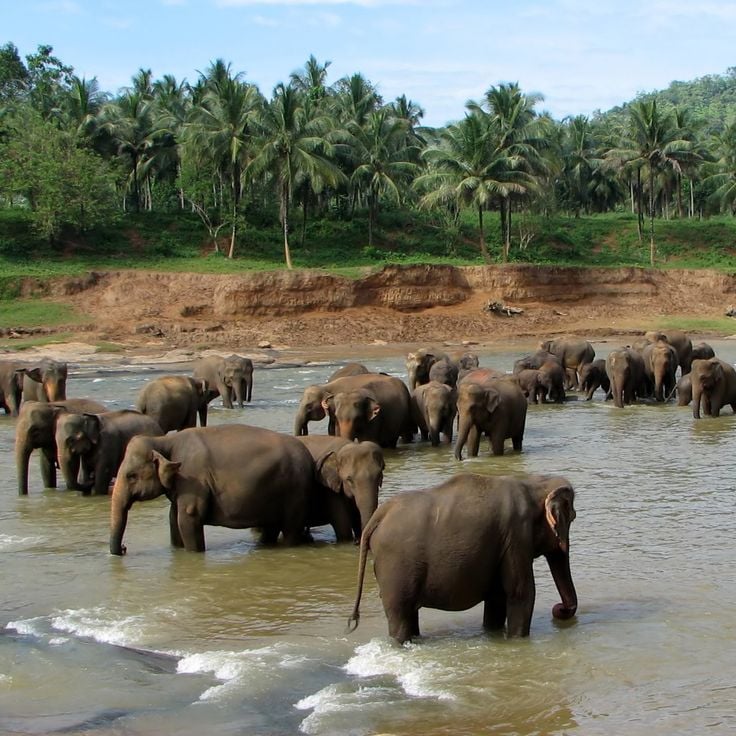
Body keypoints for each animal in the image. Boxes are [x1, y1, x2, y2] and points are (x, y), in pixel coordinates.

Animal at [109, 424, 316, 555]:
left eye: (131, 476)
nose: (124, 549)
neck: (164, 441)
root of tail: (308, 456)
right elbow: (173, 518)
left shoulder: (192, 478)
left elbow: (188, 517)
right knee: (271, 528)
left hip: (295, 491)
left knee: (290, 529)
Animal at [347, 473, 578, 644]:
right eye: (572, 517)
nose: (558, 609)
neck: (534, 483)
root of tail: (379, 515)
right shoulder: (516, 536)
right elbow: (520, 593)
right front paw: (516, 641)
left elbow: (496, 597)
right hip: (396, 567)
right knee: (400, 615)